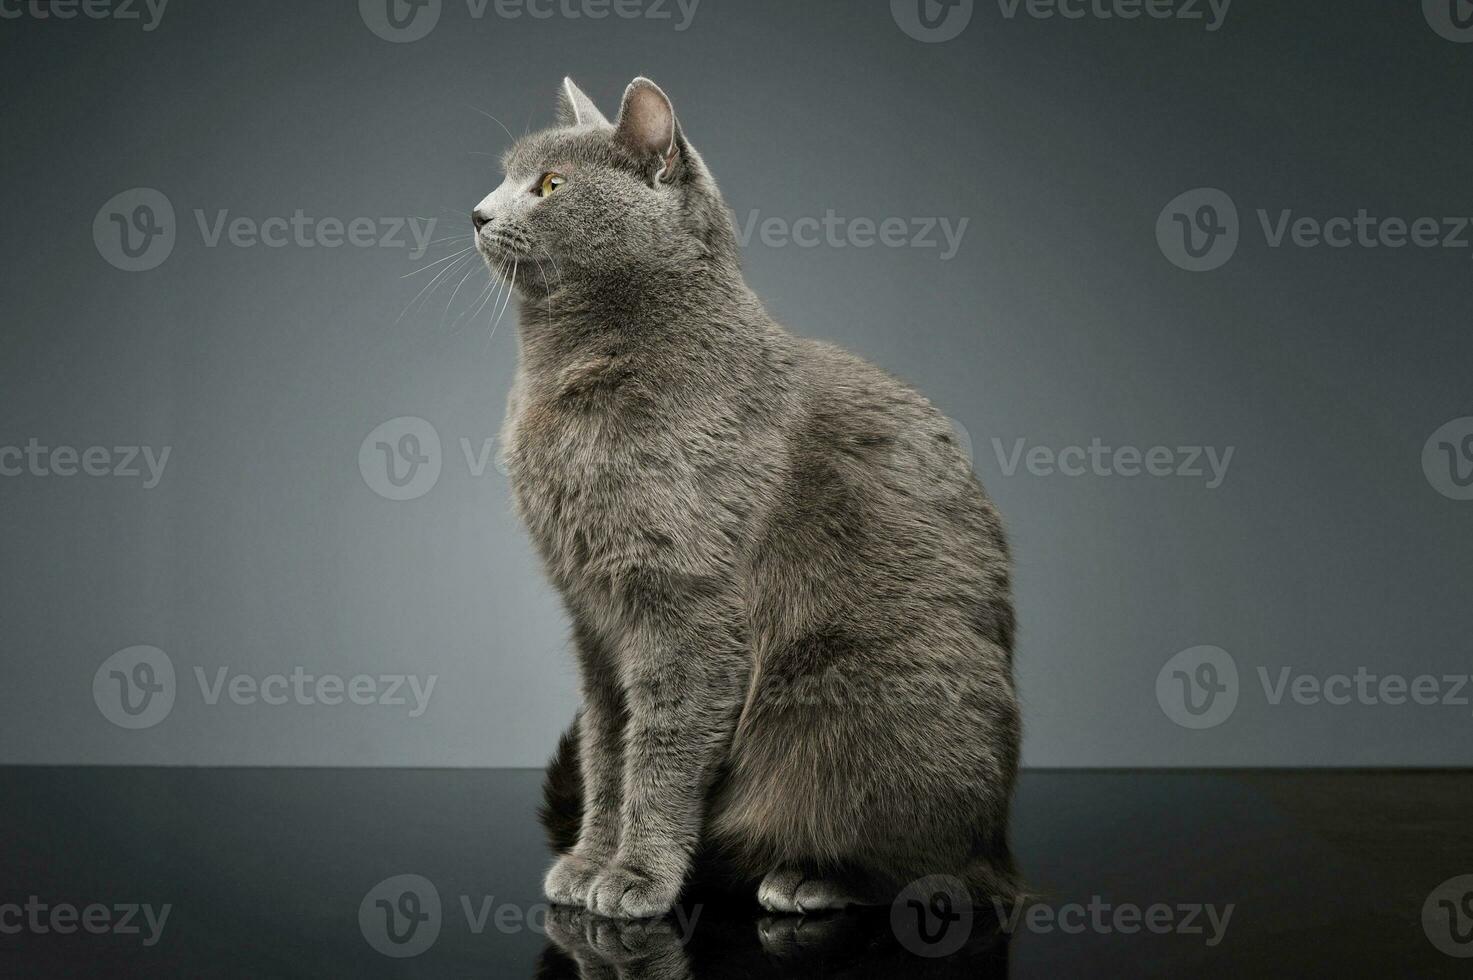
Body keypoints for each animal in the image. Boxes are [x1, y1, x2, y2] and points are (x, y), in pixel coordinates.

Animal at [477, 74, 1019, 919]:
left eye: (552, 185)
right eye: (507, 177)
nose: (477, 211)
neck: (565, 370)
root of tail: (1000, 842)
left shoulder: (687, 608)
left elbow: (660, 755)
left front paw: (636, 877)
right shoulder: (592, 619)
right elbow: (607, 752)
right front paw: (589, 863)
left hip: (856, 706)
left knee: (934, 871)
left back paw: (807, 877)